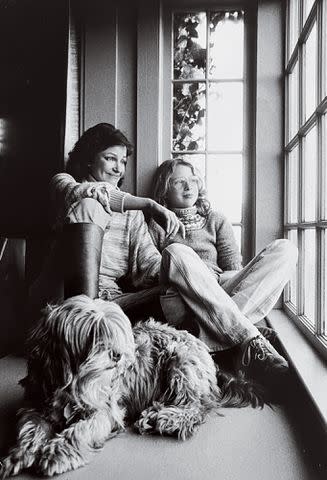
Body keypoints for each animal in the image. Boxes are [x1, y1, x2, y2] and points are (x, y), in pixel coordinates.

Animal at [0, 294, 262, 478]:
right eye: (93, 335)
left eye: (113, 333)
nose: (117, 354)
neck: (73, 384)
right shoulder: (35, 404)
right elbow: (30, 427)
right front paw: (20, 453)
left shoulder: (105, 411)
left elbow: (80, 429)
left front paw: (57, 452)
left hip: (180, 361)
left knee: (196, 407)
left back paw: (164, 418)